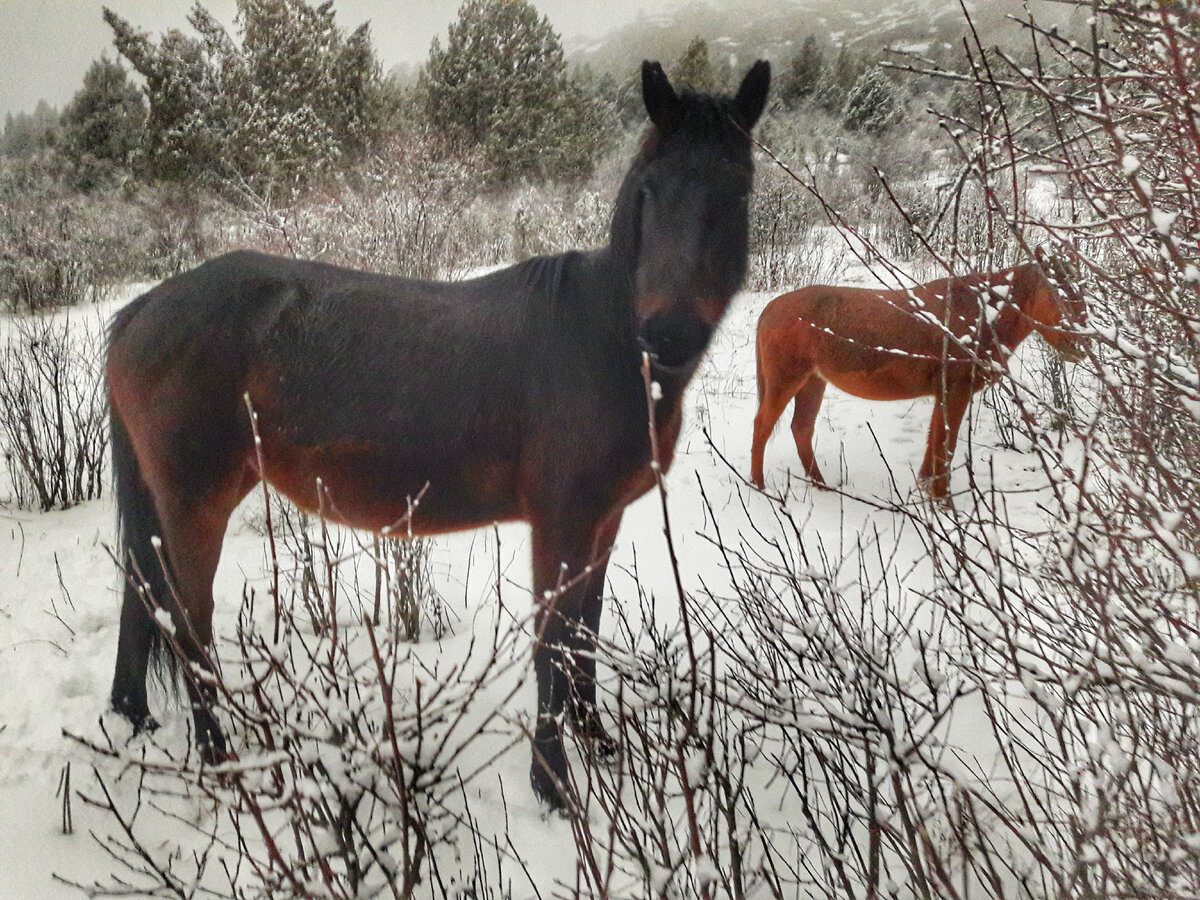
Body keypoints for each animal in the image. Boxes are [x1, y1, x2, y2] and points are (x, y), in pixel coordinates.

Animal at [108, 61, 772, 811]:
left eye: (739, 191)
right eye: (650, 190)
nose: (669, 335)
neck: (603, 340)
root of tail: (142, 310)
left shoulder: (603, 522)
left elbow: (585, 633)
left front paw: (599, 745)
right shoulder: (563, 522)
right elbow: (552, 643)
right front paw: (553, 786)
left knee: (142, 599)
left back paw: (136, 721)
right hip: (197, 504)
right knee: (185, 623)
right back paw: (223, 762)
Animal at [753, 252, 1094, 501]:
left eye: (1082, 291)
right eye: (1056, 294)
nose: (1082, 343)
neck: (983, 312)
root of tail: (769, 309)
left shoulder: (943, 393)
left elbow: (935, 441)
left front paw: (925, 490)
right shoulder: (957, 390)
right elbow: (946, 445)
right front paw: (942, 501)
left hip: (813, 381)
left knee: (801, 428)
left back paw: (822, 486)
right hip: (786, 379)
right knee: (763, 426)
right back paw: (759, 488)